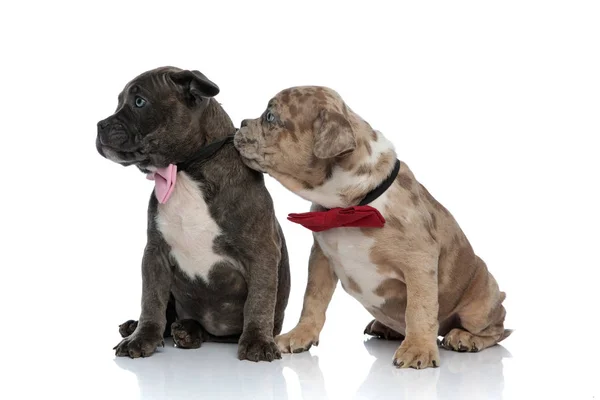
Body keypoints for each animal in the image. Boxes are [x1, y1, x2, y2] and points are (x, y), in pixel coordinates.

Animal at [95, 66, 290, 362]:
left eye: (139, 102)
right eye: (119, 102)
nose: (100, 125)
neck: (186, 171)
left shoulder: (262, 252)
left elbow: (259, 299)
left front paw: (257, 341)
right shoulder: (155, 254)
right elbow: (151, 299)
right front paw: (142, 337)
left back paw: (188, 331)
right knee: (168, 313)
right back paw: (146, 327)